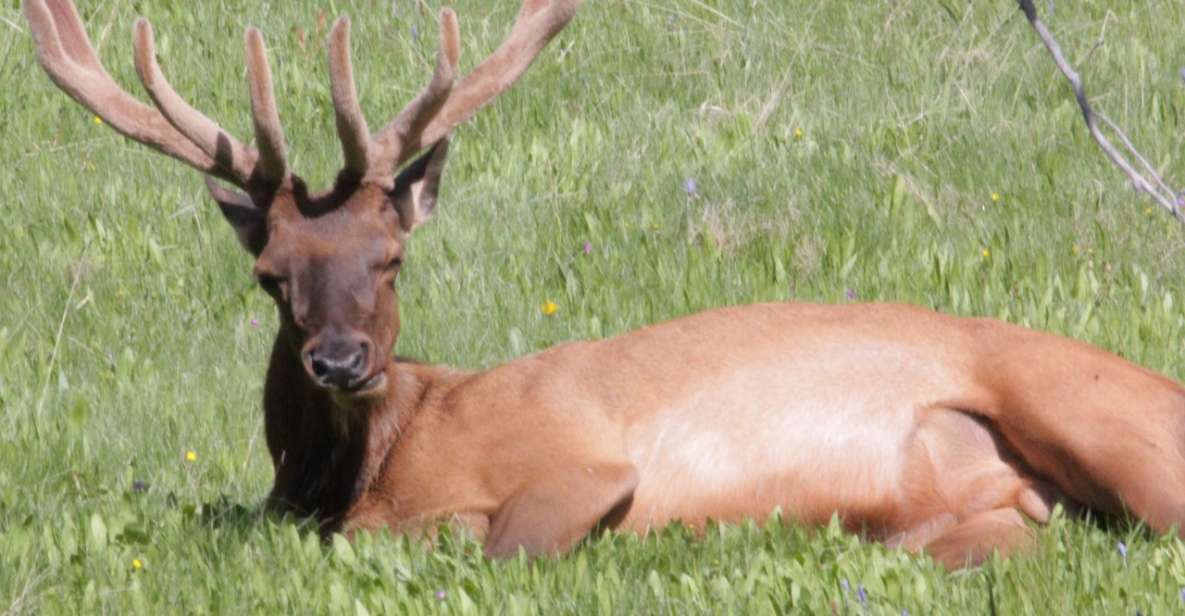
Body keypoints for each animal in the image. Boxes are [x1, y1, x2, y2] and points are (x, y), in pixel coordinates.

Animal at [25, 0, 1185, 570]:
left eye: (390, 257)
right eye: (272, 274)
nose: (341, 359)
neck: (373, 462)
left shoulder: (576, 463)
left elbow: (489, 544)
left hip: (1096, 414)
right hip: (979, 523)